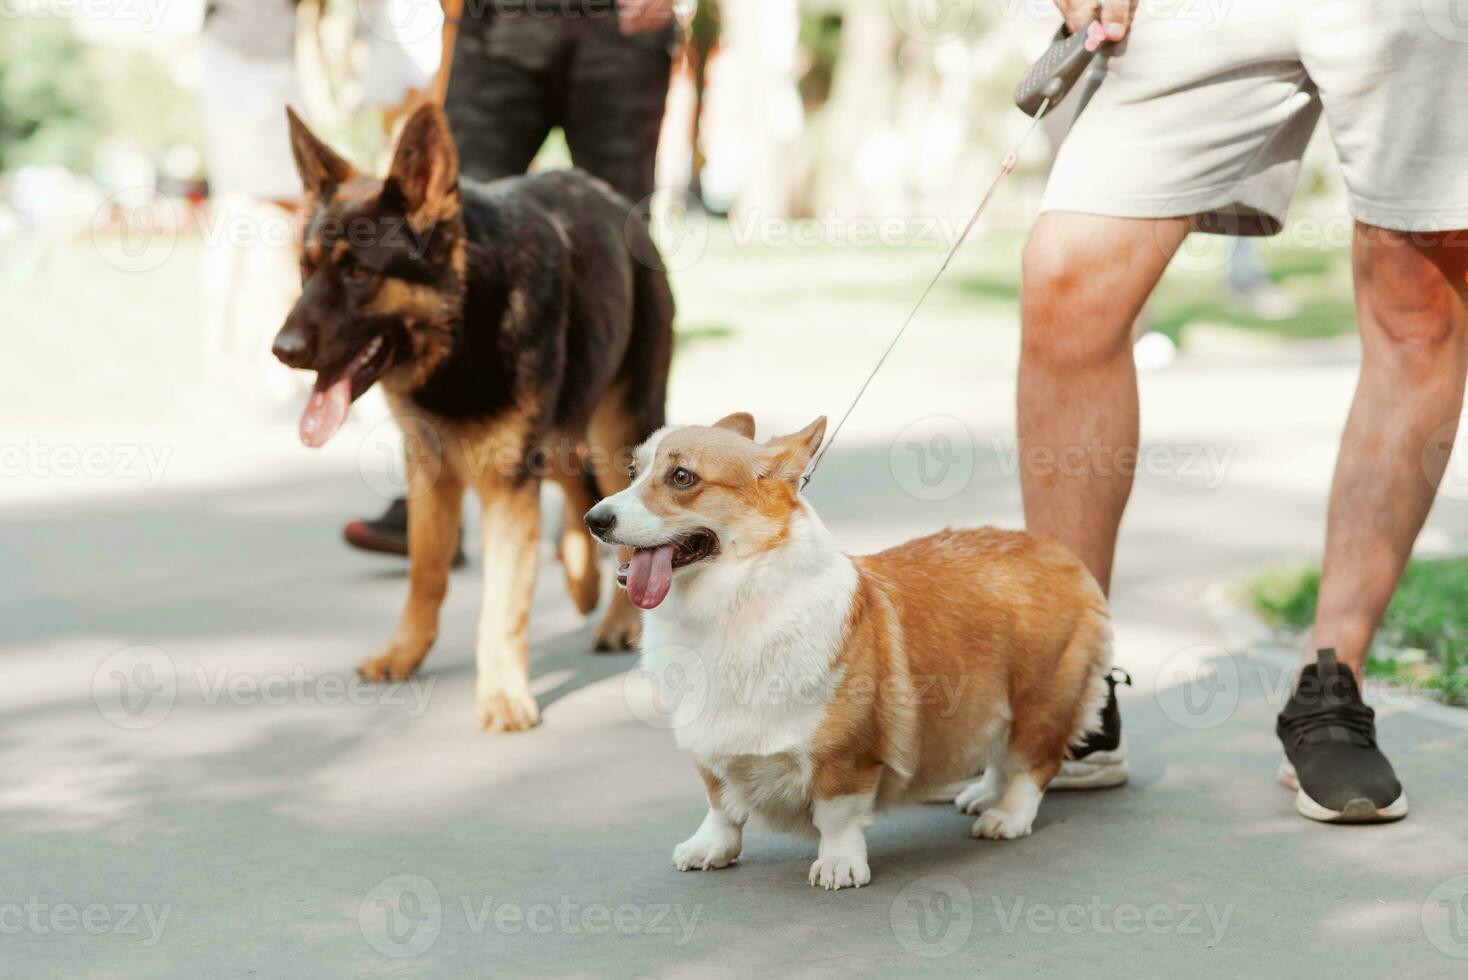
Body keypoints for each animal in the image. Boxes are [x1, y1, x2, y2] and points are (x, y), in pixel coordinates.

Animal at [273, 107, 672, 730]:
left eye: (359, 273)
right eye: (304, 271)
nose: (281, 350)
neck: (466, 323)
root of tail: (607, 195)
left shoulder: (507, 489)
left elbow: (502, 604)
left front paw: (503, 694)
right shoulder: (431, 472)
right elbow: (426, 572)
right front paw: (405, 653)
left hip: (615, 431)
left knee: (614, 510)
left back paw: (618, 620)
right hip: (564, 430)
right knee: (578, 489)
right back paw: (581, 579)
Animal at [584, 413, 1109, 886]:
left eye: (682, 476)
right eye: (631, 471)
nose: (594, 519)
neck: (731, 609)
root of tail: (1053, 549)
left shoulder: (846, 758)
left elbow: (837, 818)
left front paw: (839, 865)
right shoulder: (708, 747)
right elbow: (721, 805)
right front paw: (710, 848)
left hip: (1041, 698)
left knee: (1033, 764)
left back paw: (1007, 815)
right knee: (997, 750)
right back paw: (982, 792)